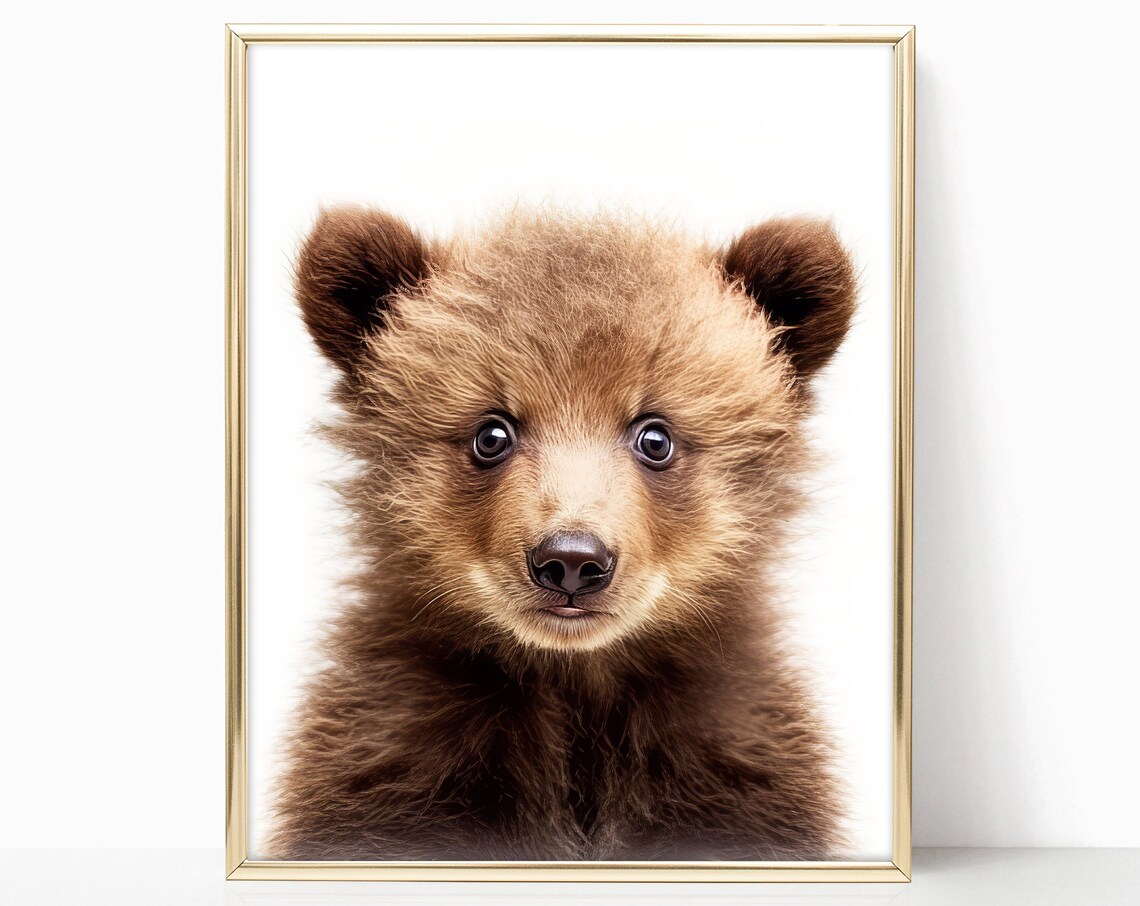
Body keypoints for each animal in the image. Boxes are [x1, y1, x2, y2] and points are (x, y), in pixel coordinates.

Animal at [267, 206, 857, 862]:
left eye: (655, 436)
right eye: (491, 433)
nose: (571, 560)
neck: (575, 684)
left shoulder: (729, 766)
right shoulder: (396, 763)